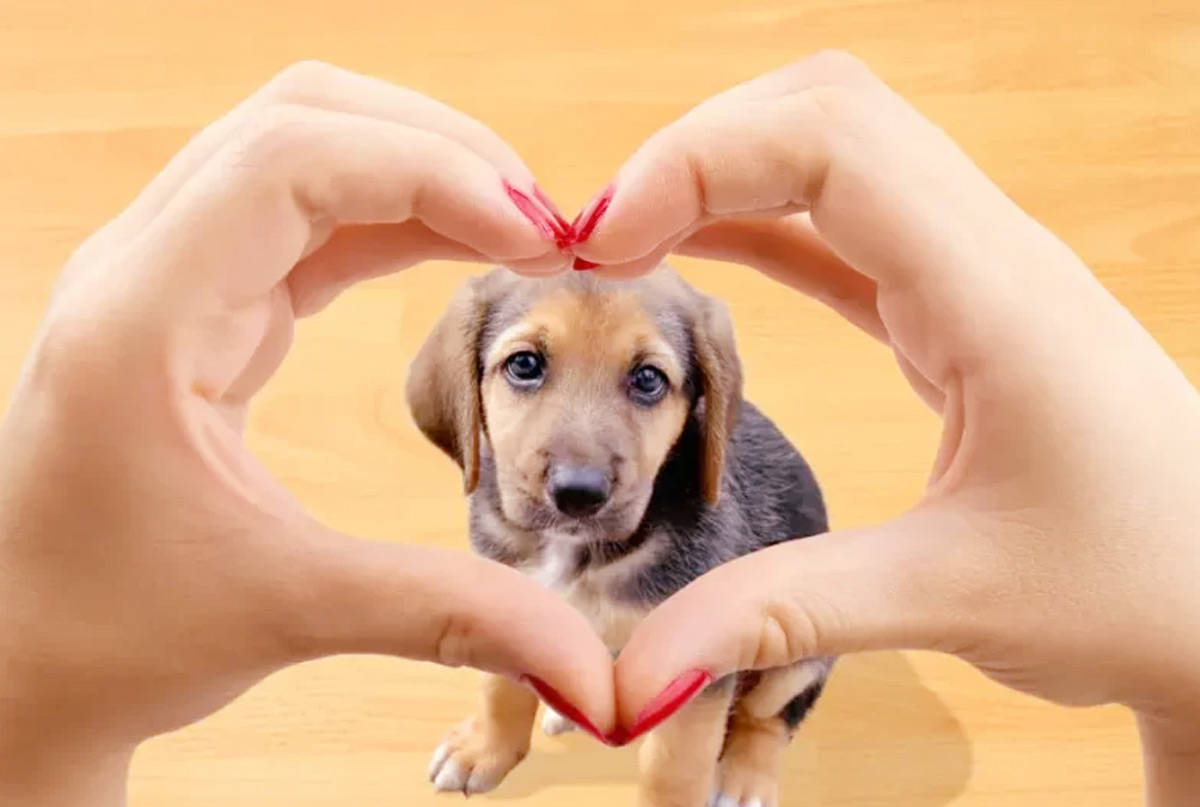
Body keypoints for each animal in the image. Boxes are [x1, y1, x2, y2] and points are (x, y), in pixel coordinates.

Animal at [408, 266, 830, 806]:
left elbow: (672, 766)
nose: (578, 494)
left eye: (648, 379)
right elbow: (500, 691)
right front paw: (484, 750)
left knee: (769, 717)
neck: (574, 553)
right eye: (524, 364)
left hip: (795, 655)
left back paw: (745, 779)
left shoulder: (693, 665)